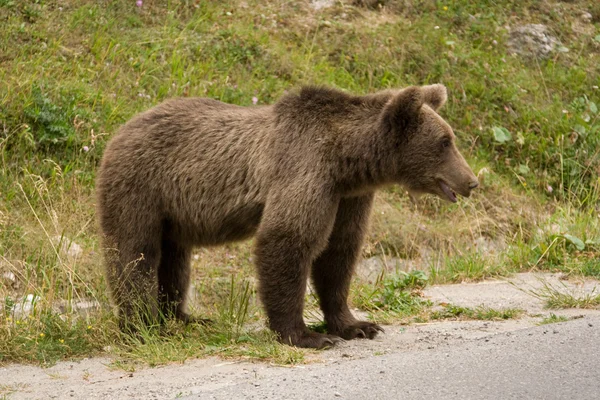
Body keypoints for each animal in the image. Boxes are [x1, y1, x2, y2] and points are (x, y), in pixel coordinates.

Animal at [96, 83, 478, 346]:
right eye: (445, 142)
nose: (472, 181)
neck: (347, 162)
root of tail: (121, 128)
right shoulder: (305, 169)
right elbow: (287, 240)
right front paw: (306, 335)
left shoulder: (348, 197)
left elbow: (339, 253)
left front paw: (357, 325)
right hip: (141, 187)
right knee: (135, 254)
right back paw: (141, 326)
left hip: (174, 214)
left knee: (175, 261)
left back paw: (183, 318)